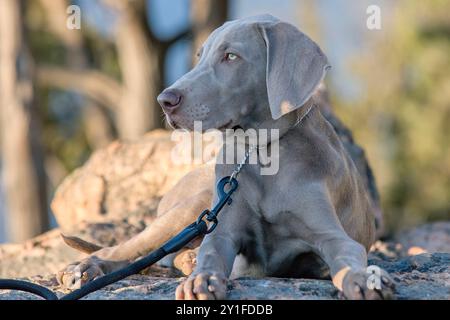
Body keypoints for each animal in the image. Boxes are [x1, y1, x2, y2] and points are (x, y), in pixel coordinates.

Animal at [58, 14, 392, 300]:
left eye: (231, 56)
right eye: (199, 56)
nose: (165, 100)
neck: (260, 151)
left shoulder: (332, 234)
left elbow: (346, 255)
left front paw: (364, 278)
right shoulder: (223, 231)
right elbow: (212, 251)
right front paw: (201, 279)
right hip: (190, 210)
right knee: (129, 249)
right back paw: (85, 268)